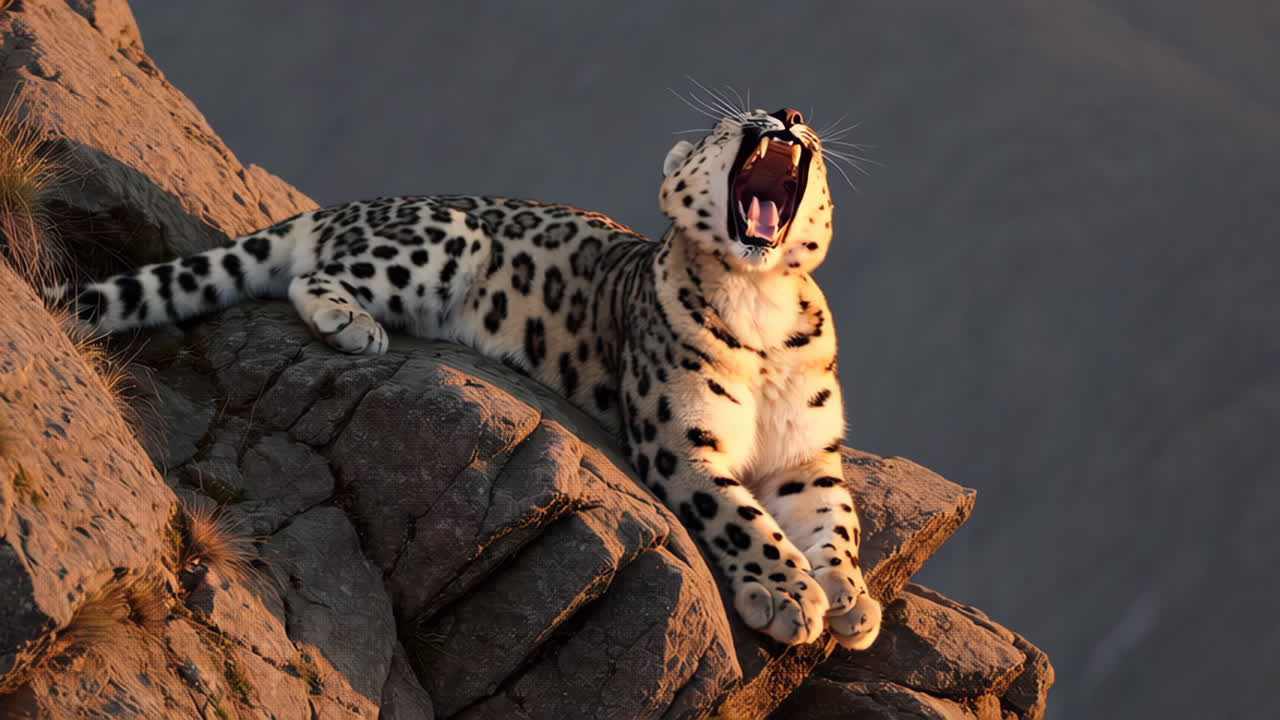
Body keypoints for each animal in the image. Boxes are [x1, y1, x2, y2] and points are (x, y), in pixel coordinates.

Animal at [49, 107, 882, 650]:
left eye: (789, 111)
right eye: (728, 121)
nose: (786, 111)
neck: (765, 299)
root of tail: (346, 207)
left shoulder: (808, 456)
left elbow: (837, 522)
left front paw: (851, 598)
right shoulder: (683, 439)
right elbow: (742, 517)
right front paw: (788, 595)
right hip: (437, 240)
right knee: (309, 275)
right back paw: (352, 324)